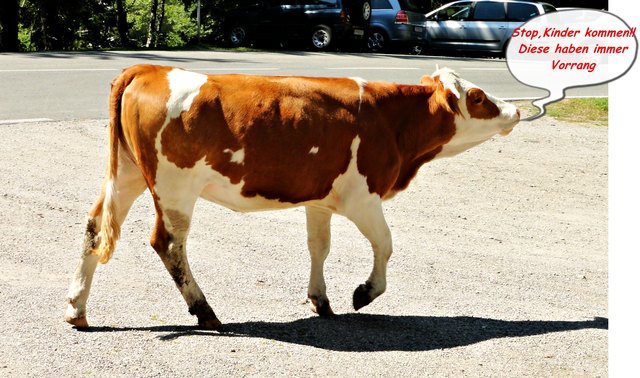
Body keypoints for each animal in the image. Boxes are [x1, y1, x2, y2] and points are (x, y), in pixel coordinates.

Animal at [63, 63, 520, 330]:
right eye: (478, 97)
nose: (516, 111)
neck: (389, 119)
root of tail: (149, 68)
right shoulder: (362, 197)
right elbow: (385, 244)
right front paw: (364, 293)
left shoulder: (320, 199)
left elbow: (319, 246)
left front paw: (321, 300)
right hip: (174, 187)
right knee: (169, 244)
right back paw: (205, 312)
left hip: (127, 174)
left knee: (94, 228)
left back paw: (76, 310)